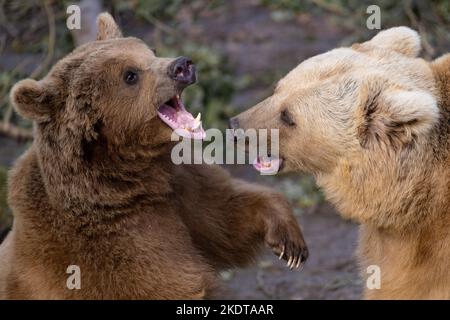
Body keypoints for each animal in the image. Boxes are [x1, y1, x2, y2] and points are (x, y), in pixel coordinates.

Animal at [0, 11, 308, 298]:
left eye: (151, 50)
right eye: (130, 75)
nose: (182, 65)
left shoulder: (180, 187)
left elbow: (226, 216)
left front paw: (290, 244)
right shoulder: (116, 243)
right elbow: (172, 281)